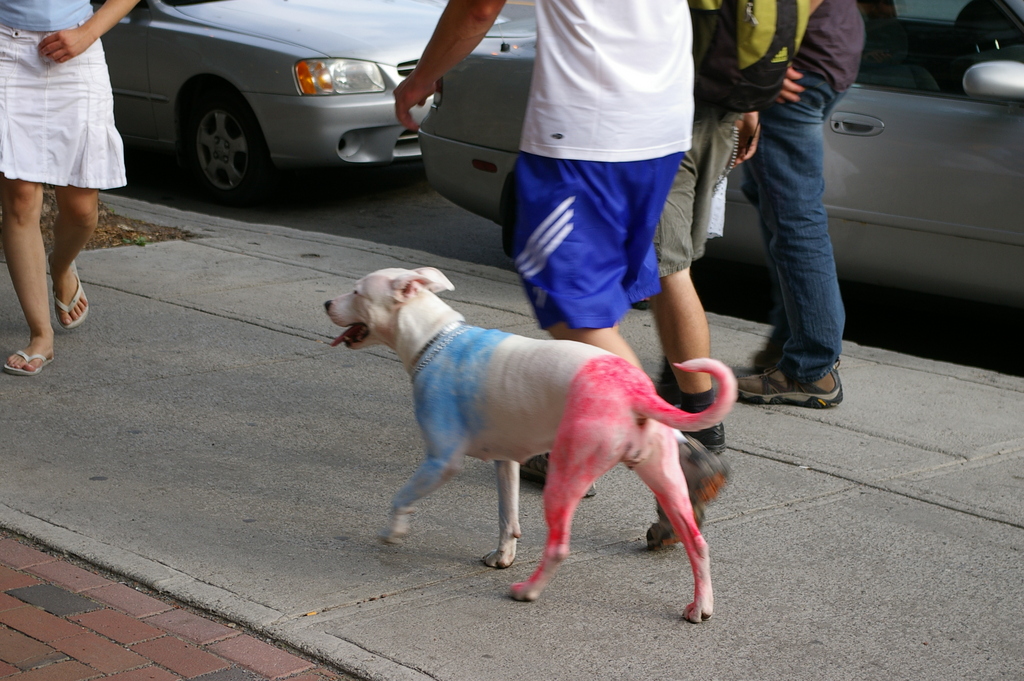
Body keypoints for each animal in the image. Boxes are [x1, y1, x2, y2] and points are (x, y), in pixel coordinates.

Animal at [325, 267, 736, 622]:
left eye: (357, 292)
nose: (327, 303)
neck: (434, 340)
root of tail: (636, 391)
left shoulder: (441, 461)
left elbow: (403, 496)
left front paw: (393, 530)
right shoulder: (506, 462)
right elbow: (507, 516)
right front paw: (502, 555)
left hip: (566, 479)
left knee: (559, 546)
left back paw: (528, 590)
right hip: (665, 478)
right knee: (697, 542)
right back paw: (701, 605)